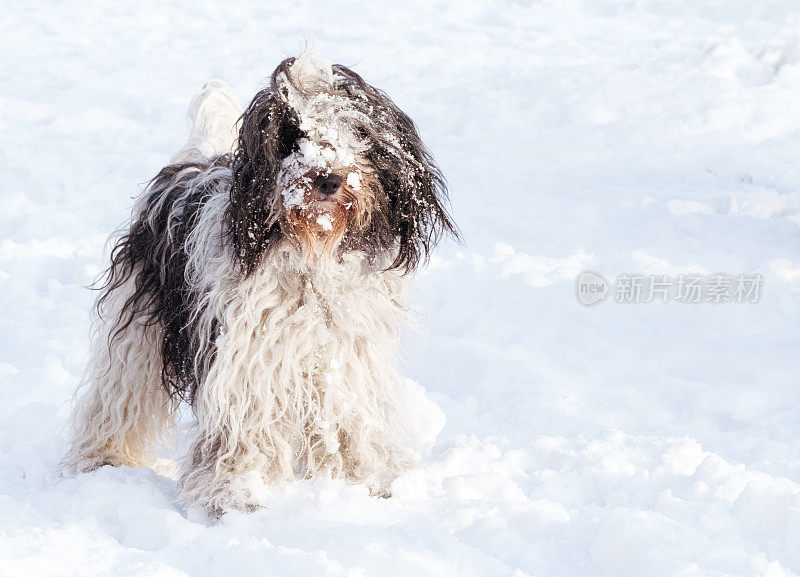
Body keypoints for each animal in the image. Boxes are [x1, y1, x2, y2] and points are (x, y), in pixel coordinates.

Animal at [62, 53, 456, 512]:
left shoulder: (343, 361)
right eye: (291, 135)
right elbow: (242, 427)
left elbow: (349, 424)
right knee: (119, 395)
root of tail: (194, 160)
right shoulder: (246, 358)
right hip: (139, 327)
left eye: (355, 130)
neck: (312, 260)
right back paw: (103, 459)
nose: (327, 178)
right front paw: (235, 492)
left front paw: (367, 481)